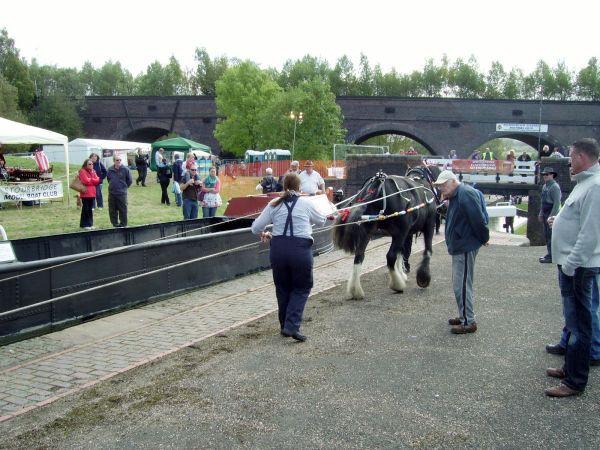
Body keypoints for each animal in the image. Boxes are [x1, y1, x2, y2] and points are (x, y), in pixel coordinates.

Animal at [332, 164, 440, 298]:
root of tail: (377, 185)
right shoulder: (427, 225)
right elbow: (427, 250)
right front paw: (423, 277)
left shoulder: (405, 233)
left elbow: (402, 252)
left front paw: (402, 273)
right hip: (401, 232)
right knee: (390, 256)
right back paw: (397, 285)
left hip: (368, 231)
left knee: (359, 256)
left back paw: (355, 290)